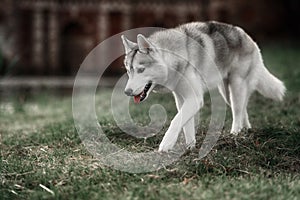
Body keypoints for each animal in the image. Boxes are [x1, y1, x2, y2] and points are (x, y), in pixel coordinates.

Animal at [120, 21, 286, 152]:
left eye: (141, 70)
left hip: (236, 87)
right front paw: (190, 147)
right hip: (226, 93)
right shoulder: (182, 100)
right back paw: (245, 130)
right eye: (128, 70)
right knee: (243, 109)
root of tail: (248, 37)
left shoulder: (194, 99)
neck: (175, 58)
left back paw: (235, 133)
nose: (126, 92)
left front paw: (166, 145)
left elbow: (175, 121)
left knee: (238, 111)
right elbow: (187, 125)